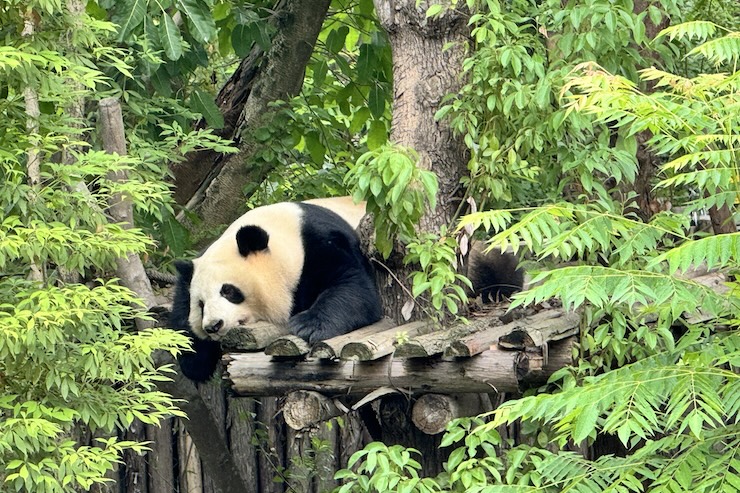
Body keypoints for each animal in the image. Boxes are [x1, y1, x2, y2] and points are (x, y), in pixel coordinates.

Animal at [170, 197, 383, 382]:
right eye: (200, 304)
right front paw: (194, 360)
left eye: (228, 291)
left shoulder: (324, 242)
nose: (213, 326)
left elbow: (354, 286)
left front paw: (308, 326)